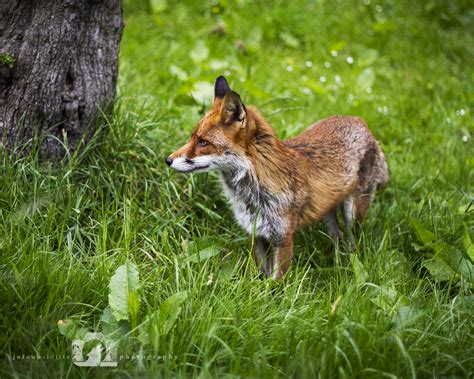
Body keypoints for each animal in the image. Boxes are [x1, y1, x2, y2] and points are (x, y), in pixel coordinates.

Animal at [167, 76, 388, 280]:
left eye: (203, 142)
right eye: (192, 137)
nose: (167, 160)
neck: (253, 190)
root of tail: (361, 122)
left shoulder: (283, 238)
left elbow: (275, 282)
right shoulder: (256, 233)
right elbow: (262, 276)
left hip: (353, 213)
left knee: (352, 241)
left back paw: (350, 265)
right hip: (327, 212)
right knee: (337, 236)